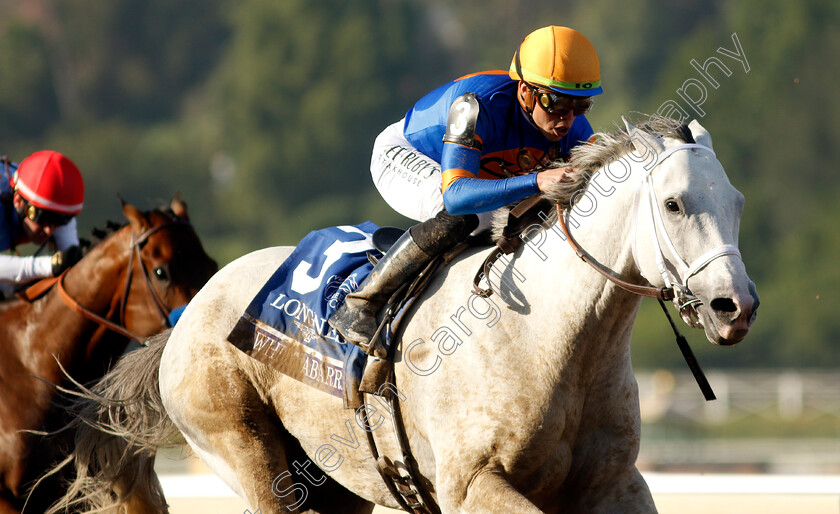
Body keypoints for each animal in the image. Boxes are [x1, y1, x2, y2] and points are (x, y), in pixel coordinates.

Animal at [52, 117, 760, 512]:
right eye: (673, 204)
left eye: (737, 201)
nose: (736, 307)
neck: (551, 340)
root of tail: (188, 316)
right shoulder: (472, 485)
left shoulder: (613, 485)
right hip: (245, 451)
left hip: (335, 484)